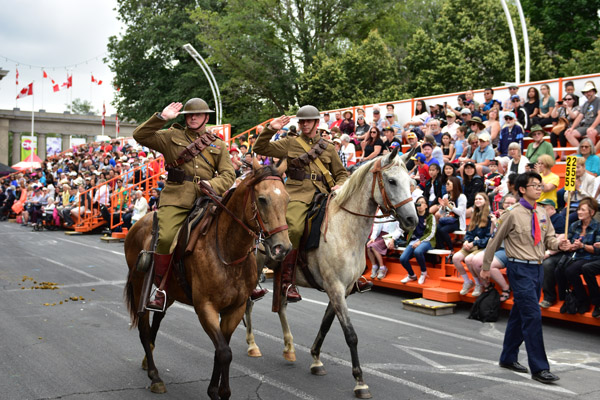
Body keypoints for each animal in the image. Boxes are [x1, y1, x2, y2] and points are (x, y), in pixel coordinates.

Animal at [123, 158, 290, 398]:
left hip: (170, 291)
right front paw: (215, 391)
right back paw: (155, 377)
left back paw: (148, 360)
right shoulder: (205, 308)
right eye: (262, 199)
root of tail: (138, 223)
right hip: (138, 286)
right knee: (144, 329)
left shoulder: (235, 309)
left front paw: (221, 390)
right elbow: (224, 352)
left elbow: (222, 349)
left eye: (287, 199)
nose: (282, 248)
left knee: (158, 318)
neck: (228, 251)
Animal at [244, 148, 418, 398]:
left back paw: (289, 347)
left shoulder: (341, 290)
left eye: (411, 182)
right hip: (254, 268)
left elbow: (326, 325)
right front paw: (360, 381)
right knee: (248, 303)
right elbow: (350, 334)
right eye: (392, 181)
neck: (345, 229)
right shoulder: (334, 287)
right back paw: (252, 344)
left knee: (281, 305)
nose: (412, 219)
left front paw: (316, 359)